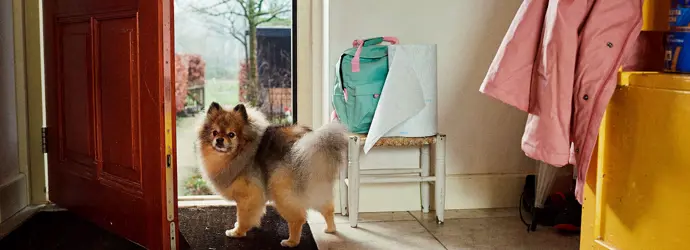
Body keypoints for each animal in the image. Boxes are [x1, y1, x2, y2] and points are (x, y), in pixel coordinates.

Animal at [196, 102, 346, 247]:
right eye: (214, 132)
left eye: (231, 134)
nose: (219, 140)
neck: (239, 152)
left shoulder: (249, 196)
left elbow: (243, 216)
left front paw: (237, 232)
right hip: (316, 186)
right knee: (328, 208)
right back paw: (331, 229)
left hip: (281, 191)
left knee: (298, 218)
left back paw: (291, 242)